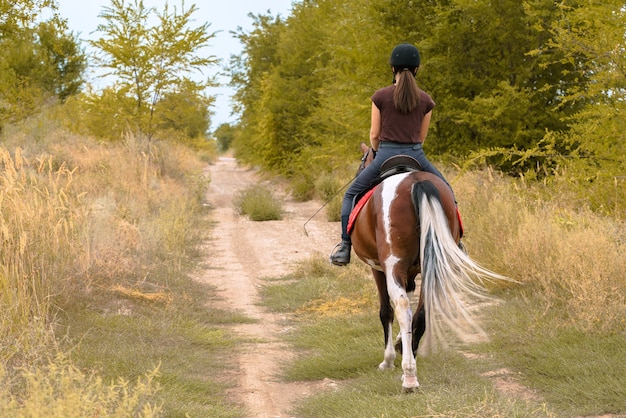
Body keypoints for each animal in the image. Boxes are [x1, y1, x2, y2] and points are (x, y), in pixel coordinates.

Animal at [348, 143, 510, 392]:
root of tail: (416, 181)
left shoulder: (379, 269)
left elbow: (386, 311)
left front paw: (388, 360)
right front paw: (401, 343)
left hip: (393, 265)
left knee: (402, 307)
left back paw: (409, 376)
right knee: (422, 310)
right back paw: (411, 359)